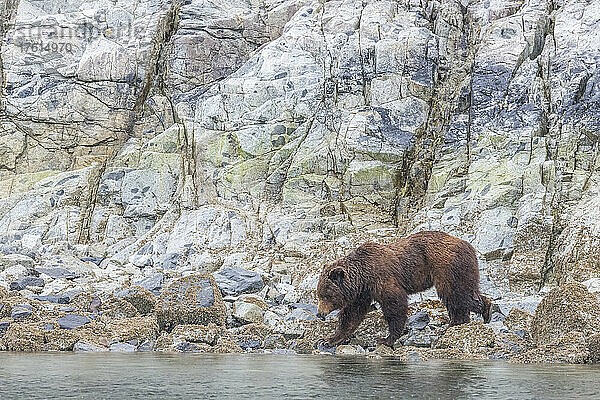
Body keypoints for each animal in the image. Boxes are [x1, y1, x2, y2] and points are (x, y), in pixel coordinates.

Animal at [316, 231, 490, 346]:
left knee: (456, 294)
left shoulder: (383, 279)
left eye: (325, 295)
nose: (319, 313)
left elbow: (395, 306)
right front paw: (329, 339)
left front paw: (387, 339)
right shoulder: (362, 292)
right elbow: (351, 315)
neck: (363, 275)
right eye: (319, 294)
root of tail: (469, 246)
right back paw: (456, 323)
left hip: (447, 267)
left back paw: (485, 310)